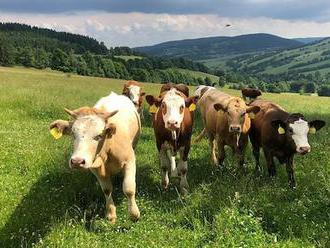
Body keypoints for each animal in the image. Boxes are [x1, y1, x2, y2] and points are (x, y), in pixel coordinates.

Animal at [49, 91, 141, 223]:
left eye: (99, 136)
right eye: (73, 134)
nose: (77, 161)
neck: (107, 151)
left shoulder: (130, 161)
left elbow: (129, 188)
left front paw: (134, 214)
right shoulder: (95, 168)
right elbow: (107, 190)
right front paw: (111, 214)